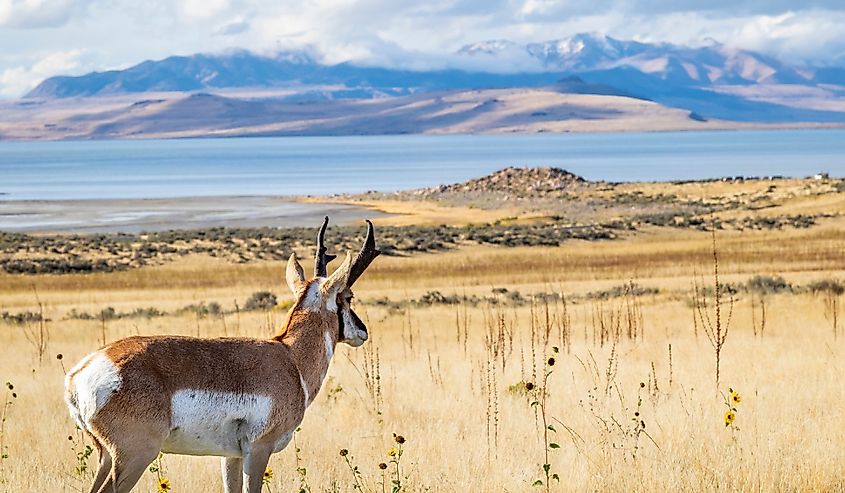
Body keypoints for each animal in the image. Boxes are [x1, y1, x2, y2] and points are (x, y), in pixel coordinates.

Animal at [64, 217, 380, 490]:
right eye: (348, 296)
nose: (363, 331)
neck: (290, 357)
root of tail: (79, 374)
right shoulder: (258, 450)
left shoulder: (231, 456)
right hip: (135, 457)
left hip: (106, 457)